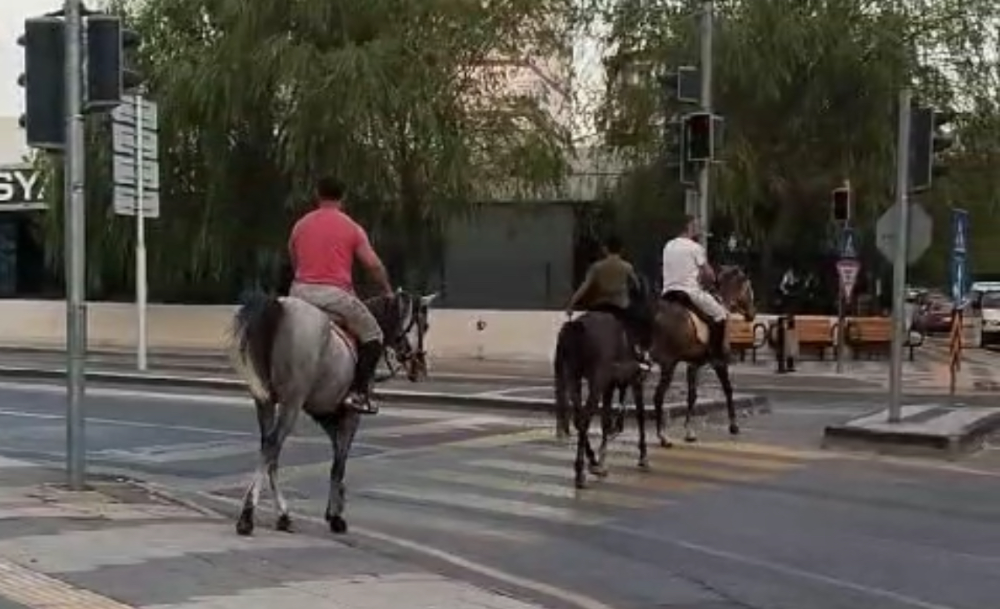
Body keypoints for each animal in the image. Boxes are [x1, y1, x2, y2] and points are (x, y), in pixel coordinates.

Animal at [229, 288, 436, 536]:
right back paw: (247, 515)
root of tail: (279, 306)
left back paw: (283, 515)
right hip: (291, 402)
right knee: (272, 445)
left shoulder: (325, 413)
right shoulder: (351, 415)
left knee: (270, 452)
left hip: (265, 402)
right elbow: (339, 463)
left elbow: (337, 454)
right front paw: (335, 516)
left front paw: (337, 504)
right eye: (425, 325)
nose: (421, 369)